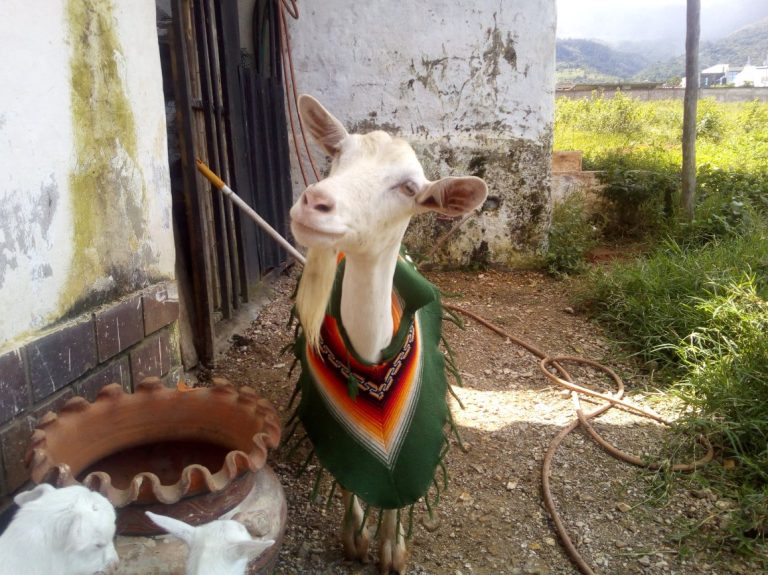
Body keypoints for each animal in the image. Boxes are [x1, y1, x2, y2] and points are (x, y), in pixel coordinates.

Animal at [289, 94, 487, 574]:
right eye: (337, 154)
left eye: (410, 188)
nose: (314, 201)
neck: (368, 355)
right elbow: (346, 475)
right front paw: (355, 538)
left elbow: (399, 494)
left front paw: (391, 549)